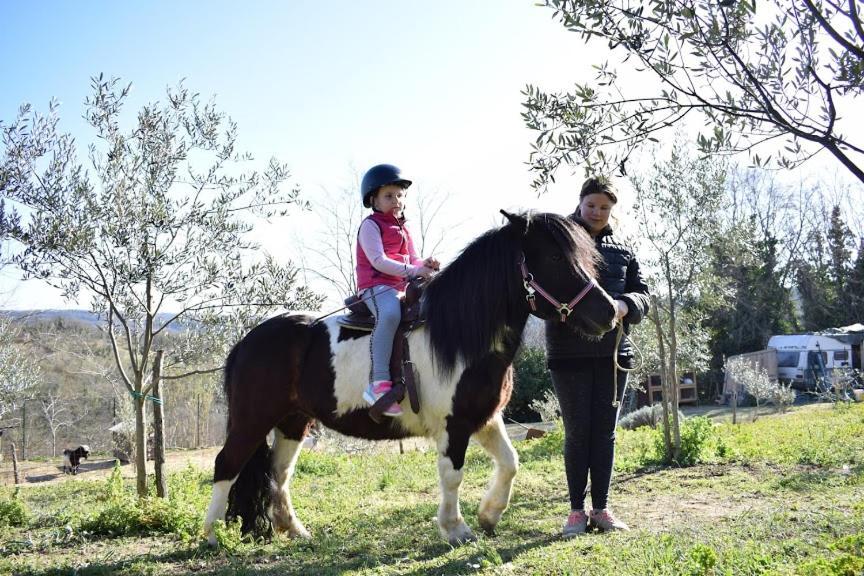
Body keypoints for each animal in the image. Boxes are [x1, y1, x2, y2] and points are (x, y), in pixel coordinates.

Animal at [205, 210, 616, 544]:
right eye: (554, 257)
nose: (609, 312)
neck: (459, 334)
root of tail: (244, 342)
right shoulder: (454, 426)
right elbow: (452, 475)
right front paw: (456, 528)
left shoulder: (484, 418)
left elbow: (511, 462)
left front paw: (488, 515)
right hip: (252, 419)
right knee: (226, 465)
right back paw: (210, 536)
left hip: (292, 421)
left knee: (279, 473)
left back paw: (294, 530)